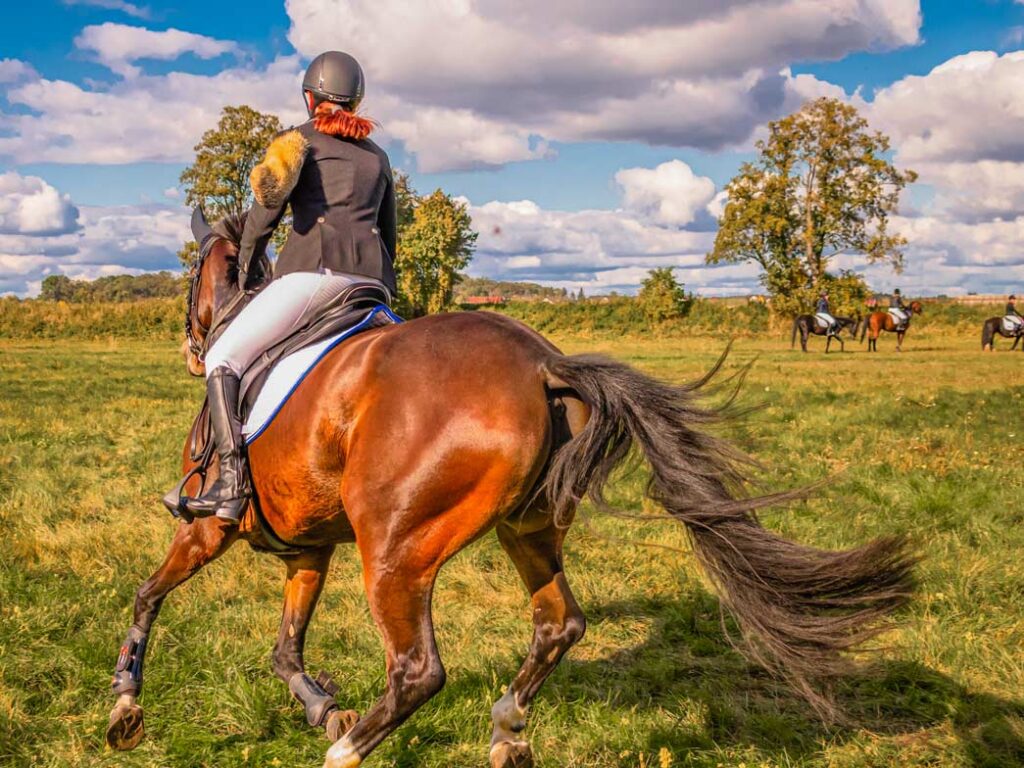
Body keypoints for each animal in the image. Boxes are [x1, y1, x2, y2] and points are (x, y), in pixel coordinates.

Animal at [105, 215, 913, 768]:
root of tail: (544, 365)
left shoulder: (209, 528)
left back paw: (349, 753)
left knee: (419, 670)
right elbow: (285, 651)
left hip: (395, 549)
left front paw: (125, 705)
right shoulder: (307, 549)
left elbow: (148, 595)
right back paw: (505, 731)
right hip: (527, 529)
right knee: (560, 625)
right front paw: (321, 708)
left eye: (191, 277)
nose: (192, 347)